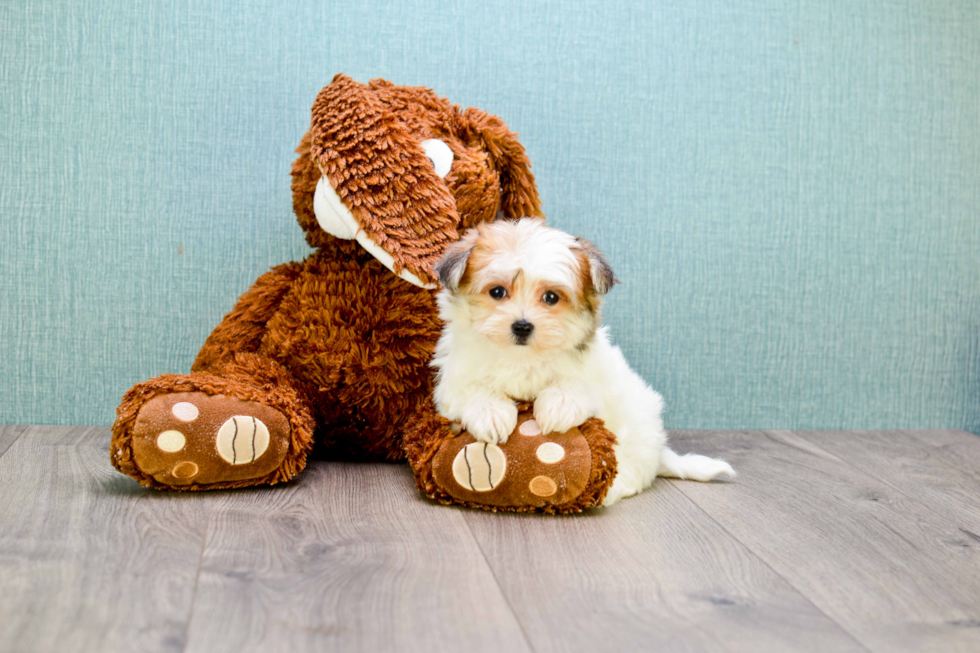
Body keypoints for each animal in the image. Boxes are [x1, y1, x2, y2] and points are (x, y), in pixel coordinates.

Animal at [430, 219, 736, 504]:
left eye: (551, 297)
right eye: (497, 292)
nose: (522, 326)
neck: (523, 357)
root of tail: (659, 450)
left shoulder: (595, 370)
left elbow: (577, 385)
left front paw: (557, 407)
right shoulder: (456, 376)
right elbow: (472, 391)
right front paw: (491, 414)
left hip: (636, 427)